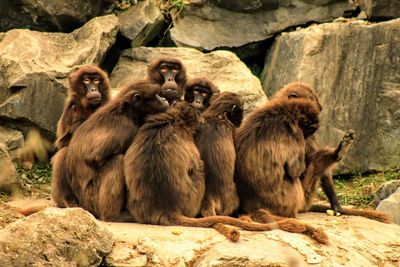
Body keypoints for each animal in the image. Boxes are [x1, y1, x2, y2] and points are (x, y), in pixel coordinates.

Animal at [52, 81, 169, 222]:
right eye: (156, 95)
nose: (164, 99)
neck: (126, 111)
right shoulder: (126, 128)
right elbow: (94, 158)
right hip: (92, 198)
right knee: (117, 160)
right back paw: (112, 215)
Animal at [124, 101, 328, 245]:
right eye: (309, 128)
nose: (312, 133)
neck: (173, 120)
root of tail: (164, 209)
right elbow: (294, 170)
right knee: (200, 169)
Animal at [270, 83, 390, 224]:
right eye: (311, 99)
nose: (320, 108)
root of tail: (304, 206)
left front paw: (336, 204)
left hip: (306, 193)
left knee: (316, 163)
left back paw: (339, 152)